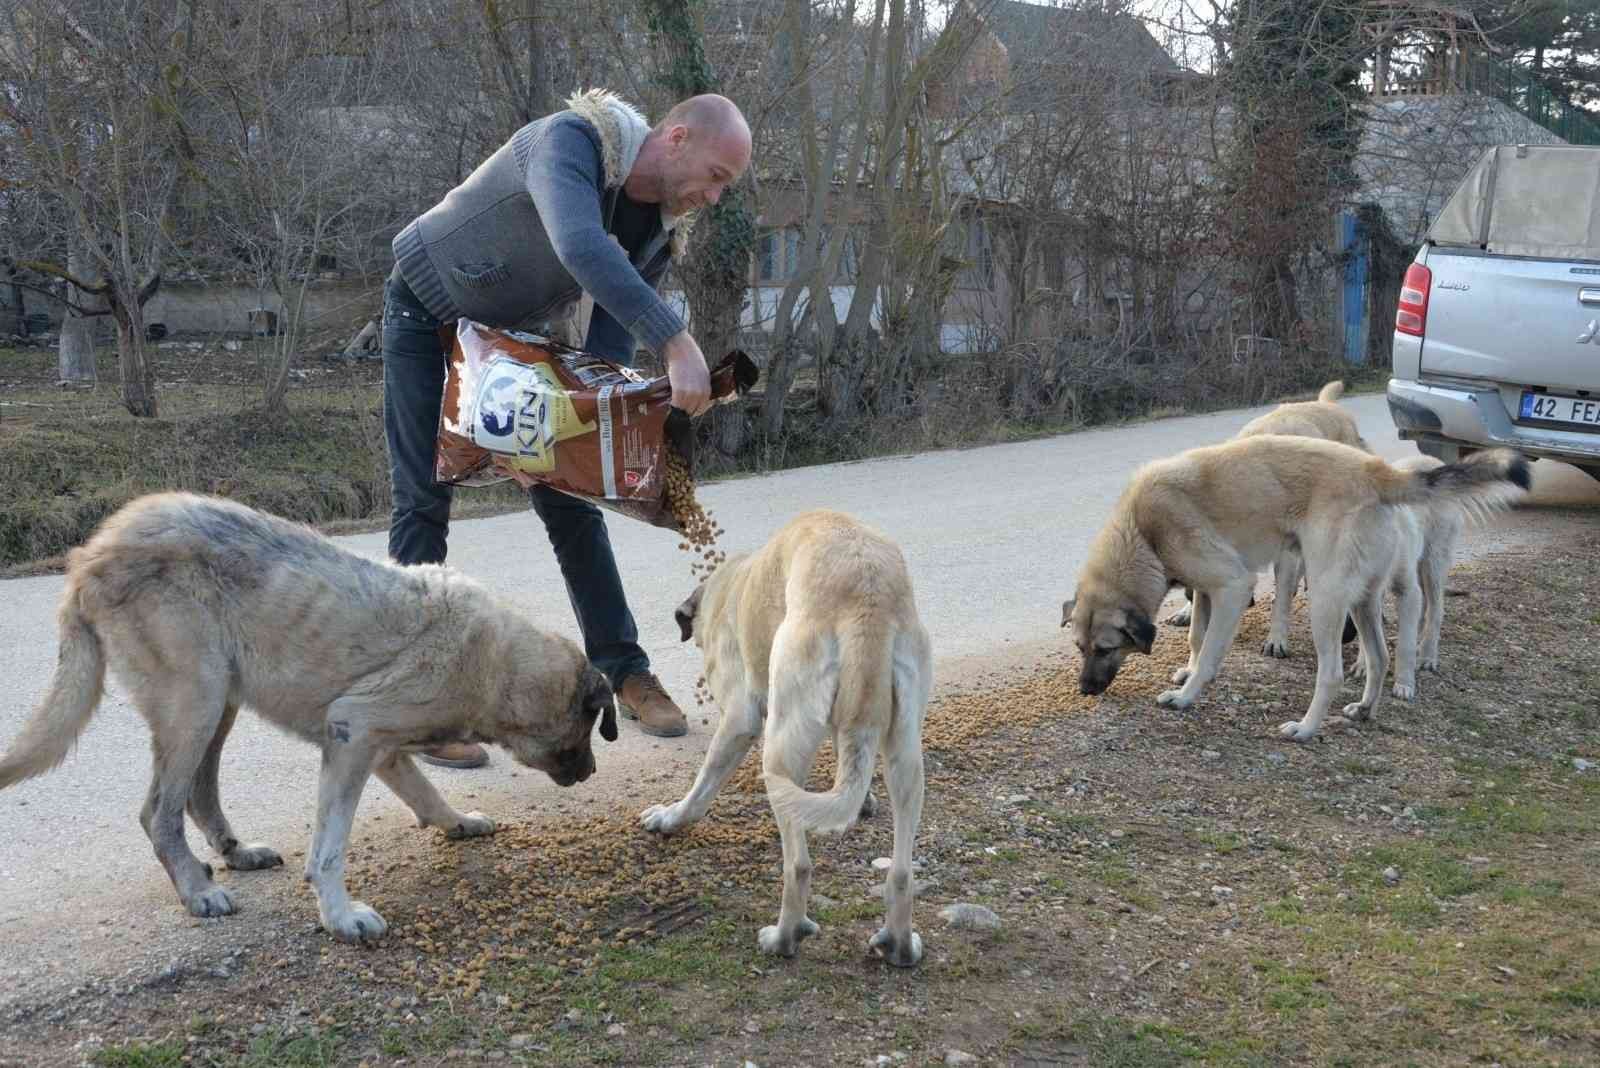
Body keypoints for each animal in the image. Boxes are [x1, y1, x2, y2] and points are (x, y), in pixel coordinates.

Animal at [0, 492, 617, 940]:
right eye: (588, 729)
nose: (591, 773)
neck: (496, 664)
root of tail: (87, 557)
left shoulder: (381, 750)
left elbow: (425, 793)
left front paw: (456, 822)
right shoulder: (351, 733)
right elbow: (329, 849)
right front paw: (340, 917)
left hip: (219, 703)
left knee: (199, 793)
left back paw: (235, 853)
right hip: (195, 702)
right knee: (159, 813)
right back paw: (196, 891)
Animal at [640, 508, 934, 965]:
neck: (730, 584)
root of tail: (867, 597)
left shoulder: (738, 720)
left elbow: (701, 787)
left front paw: (672, 817)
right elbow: (850, 757)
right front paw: (863, 800)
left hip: (780, 749)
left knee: (798, 865)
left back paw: (784, 937)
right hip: (906, 756)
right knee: (901, 870)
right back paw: (900, 943)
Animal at [1062, 441, 1523, 741]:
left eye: (1106, 649)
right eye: (1081, 648)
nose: (1084, 690)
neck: (1142, 531)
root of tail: (1378, 472)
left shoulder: (1232, 587)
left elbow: (1210, 654)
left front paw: (1186, 695)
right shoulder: (1205, 591)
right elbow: (1196, 637)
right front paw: (1187, 670)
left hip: (1326, 600)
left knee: (1334, 672)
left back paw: (1305, 728)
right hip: (1363, 601)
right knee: (1379, 657)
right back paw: (1364, 710)